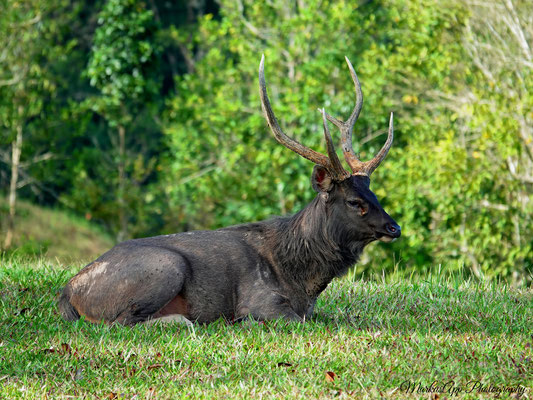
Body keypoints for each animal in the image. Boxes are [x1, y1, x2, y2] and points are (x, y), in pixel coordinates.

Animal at [58, 55, 400, 324]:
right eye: (354, 201)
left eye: (374, 195)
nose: (394, 227)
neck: (302, 280)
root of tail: (68, 292)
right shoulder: (260, 302)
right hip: (164, 268)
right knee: (121, 321)